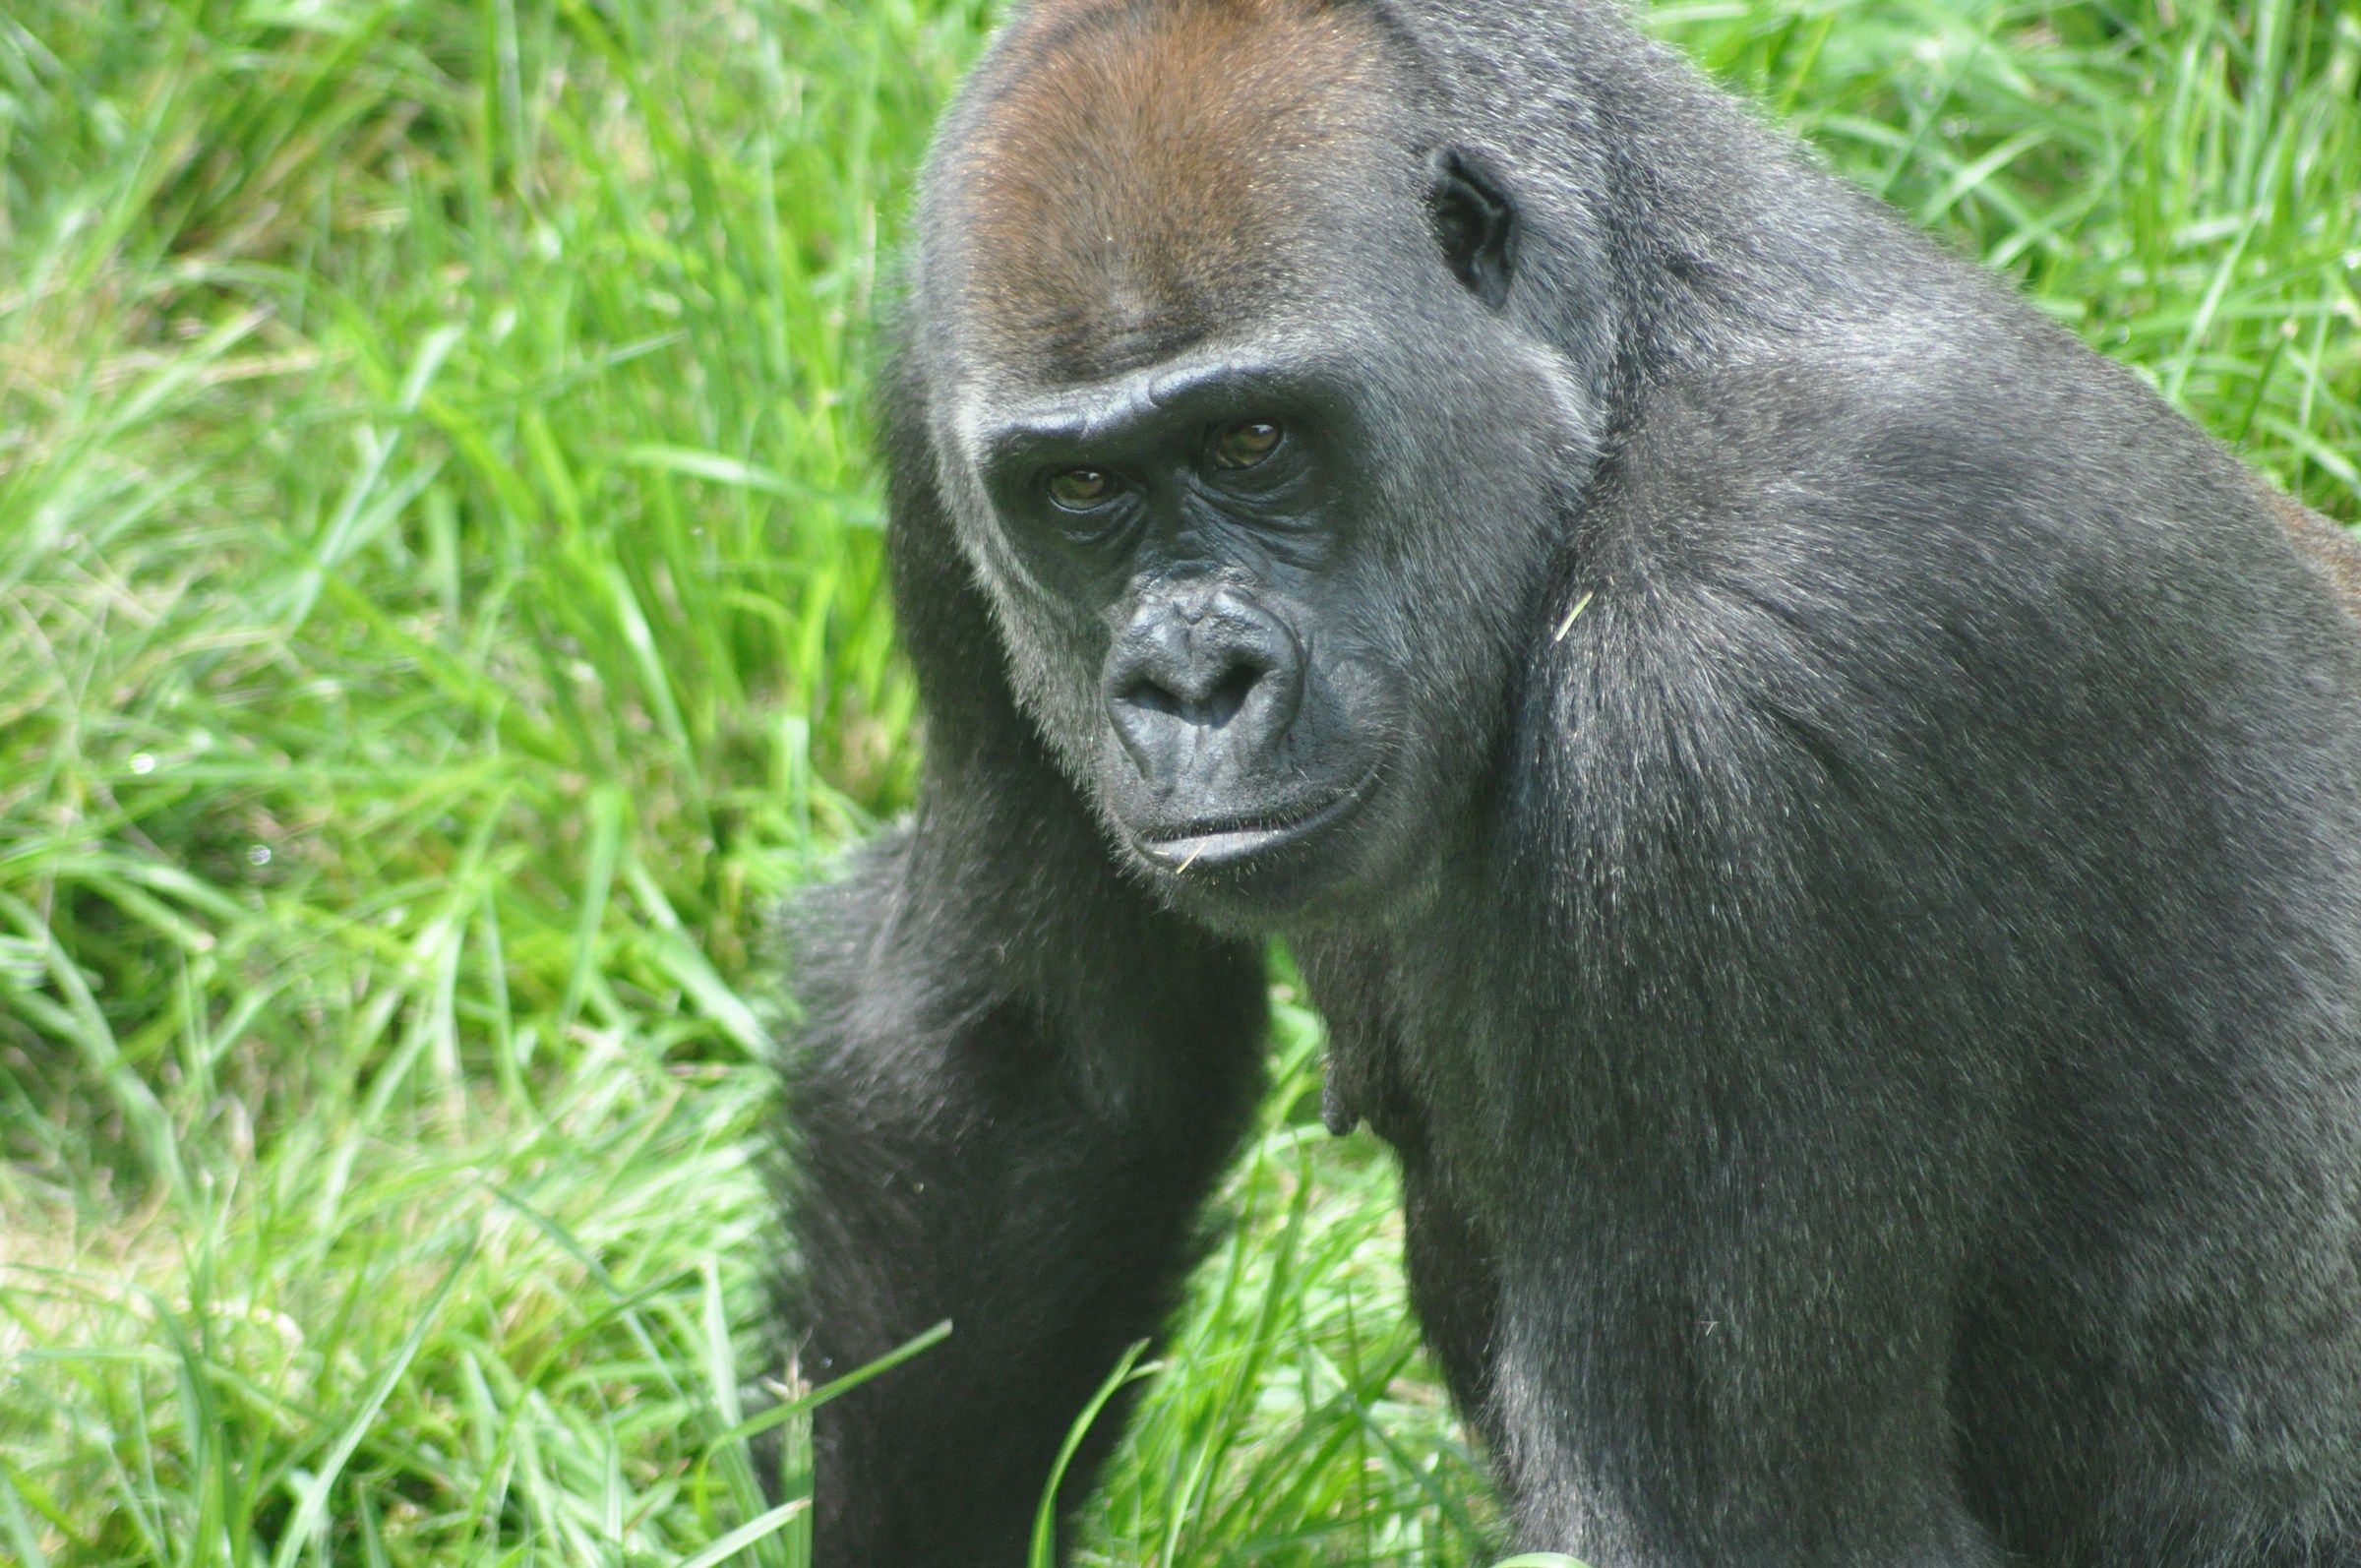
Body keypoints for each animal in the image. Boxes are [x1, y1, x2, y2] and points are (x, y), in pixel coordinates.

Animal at [776, 0, 2361, 1561]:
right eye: (1084, 490)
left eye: (1255, 438)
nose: (1190, 682)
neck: (1614, 368)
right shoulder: (928, 411)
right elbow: (1045, 1066)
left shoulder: (1721, 695)